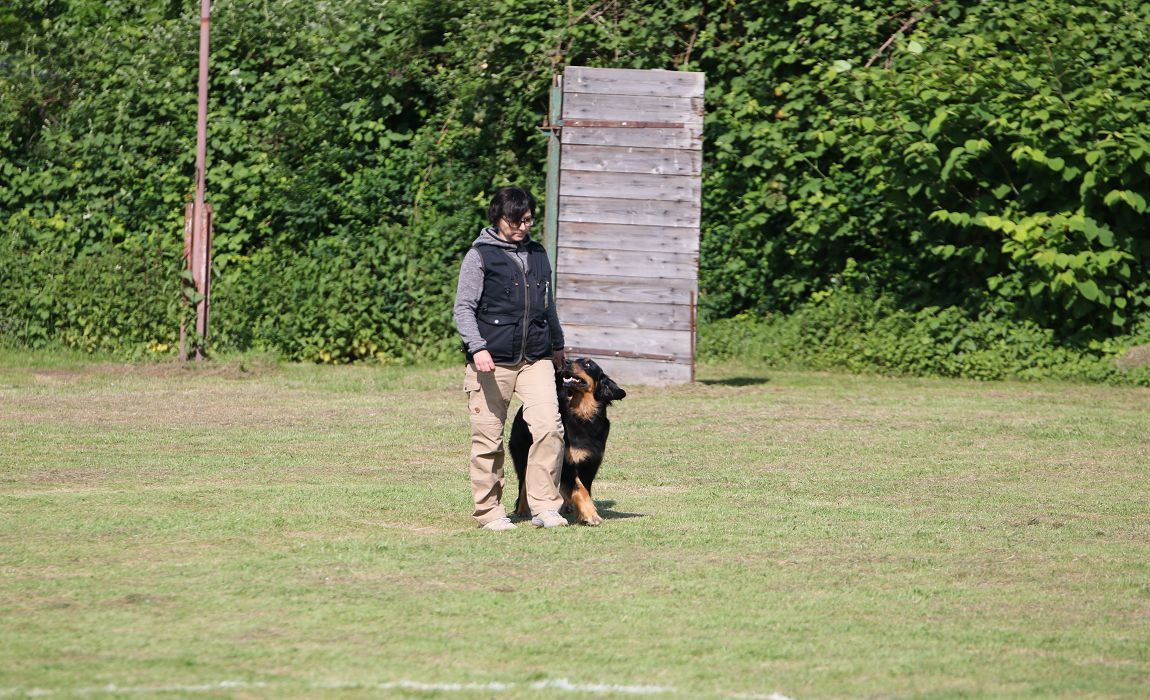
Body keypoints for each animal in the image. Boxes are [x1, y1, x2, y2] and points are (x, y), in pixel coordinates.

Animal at [508, 358, 625, 521]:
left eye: (587, 364)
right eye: (575, 360)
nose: (567, 361)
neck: (582, 415)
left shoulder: (591, 464)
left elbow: (585, 489)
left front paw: (583, 514)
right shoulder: (567, 462)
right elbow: (579, 488)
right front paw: (591, 515)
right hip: (523, 454)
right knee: (524, 482)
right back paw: (523, 509)